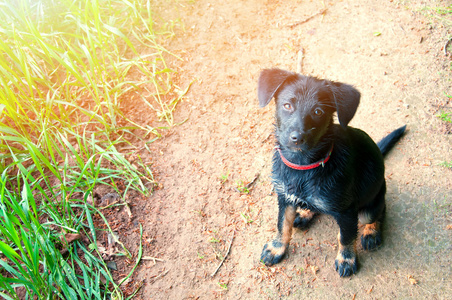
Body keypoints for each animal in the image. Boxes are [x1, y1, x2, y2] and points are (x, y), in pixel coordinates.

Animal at [258, 68, 406, 276]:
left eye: (318, 111)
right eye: (287, 105)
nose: (297, 138)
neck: (303, 167)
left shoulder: (347, 210)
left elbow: (345, 237)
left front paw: (346, 259)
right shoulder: (285, 198)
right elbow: (282, 225)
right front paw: (276, 247)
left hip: (369, 205)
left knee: (379, 212)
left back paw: (371, 232)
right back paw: (304, 213)